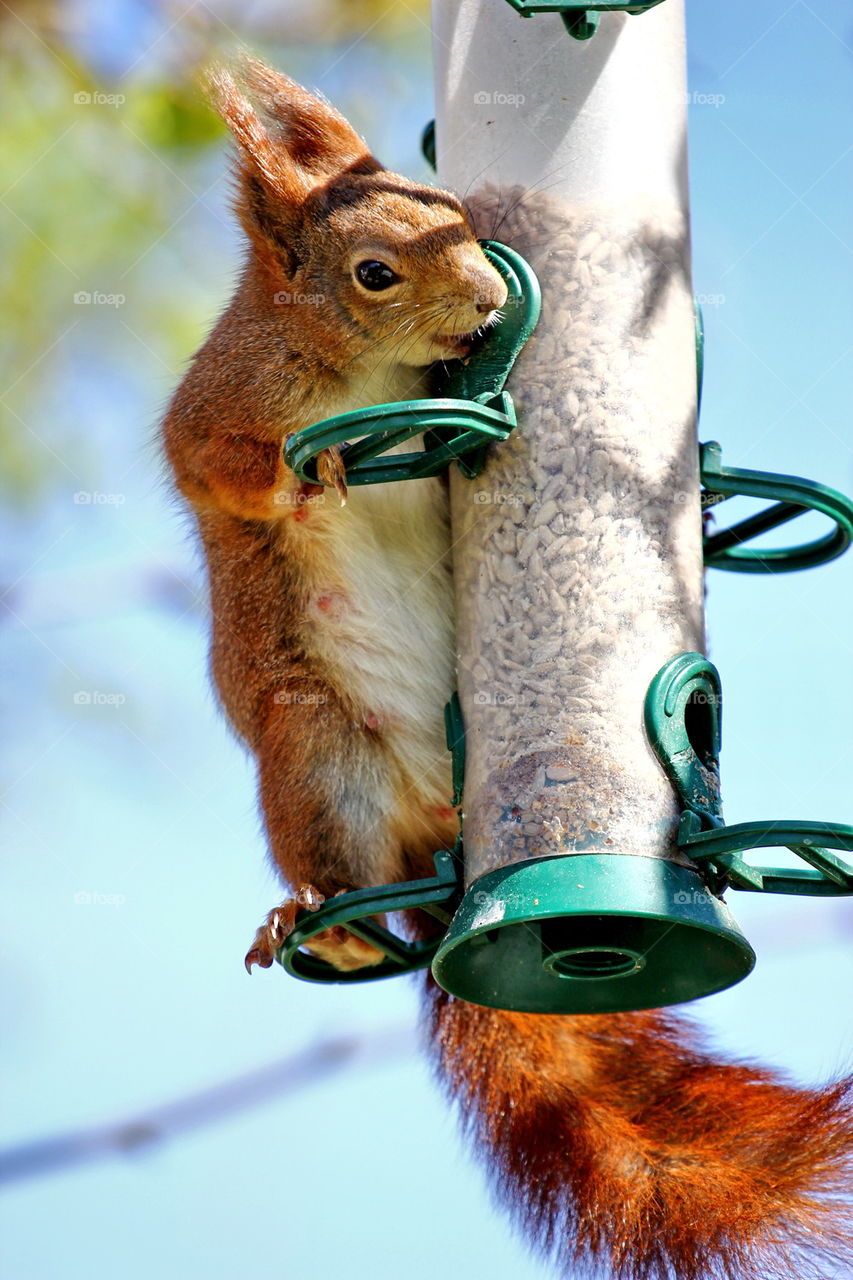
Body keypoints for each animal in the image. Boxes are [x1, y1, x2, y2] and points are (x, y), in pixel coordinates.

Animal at [163, 57, 850, 1280]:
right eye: (374, 272)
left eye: (459, 216)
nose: (490, 306)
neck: (363, 365)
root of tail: (453, 862)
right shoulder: (224, 403)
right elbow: (219, 469)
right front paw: (307, 478)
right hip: (317, 750)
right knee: (350, 891)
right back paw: (319, 918)